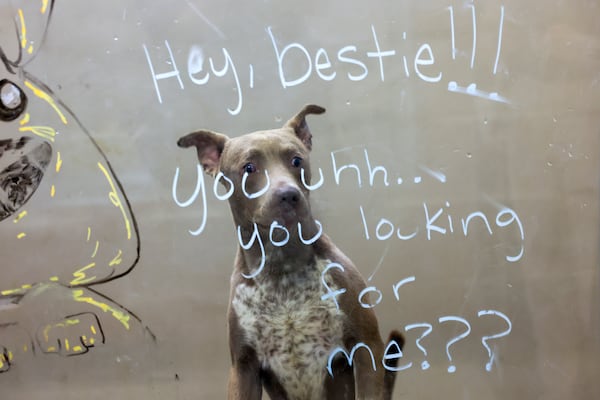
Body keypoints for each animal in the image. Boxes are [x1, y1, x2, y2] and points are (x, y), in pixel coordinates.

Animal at [178, 104, 404, 398]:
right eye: (248, 168)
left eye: (296, 161)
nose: (288, 194)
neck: (282, 268)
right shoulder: (243, 367)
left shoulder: (367, 346)